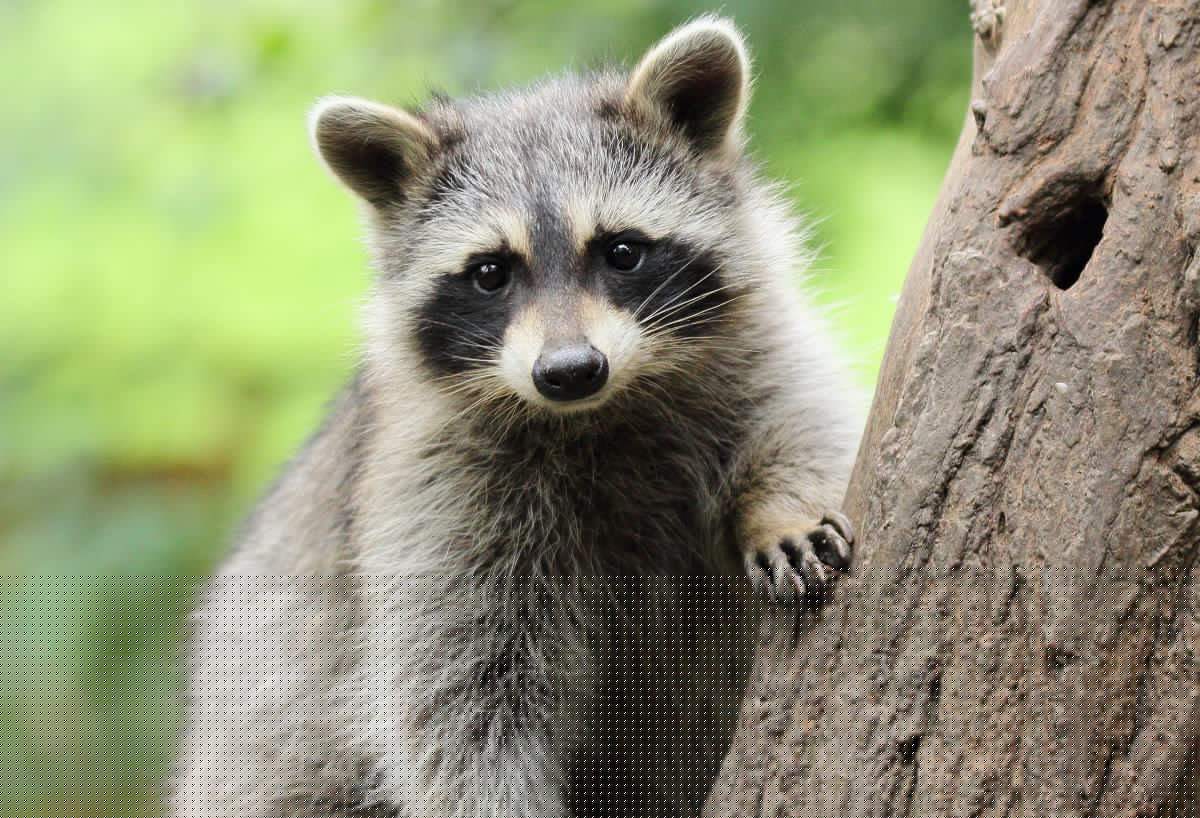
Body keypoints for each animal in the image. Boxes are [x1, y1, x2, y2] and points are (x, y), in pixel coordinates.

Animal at [171, 16, 863, 818]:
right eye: (490, 273)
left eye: (622, 251)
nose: (569, 371)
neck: (600, 412)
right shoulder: (435, 493)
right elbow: (459, 697)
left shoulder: (757, 350)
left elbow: (806, 417)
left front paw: (780, 506)